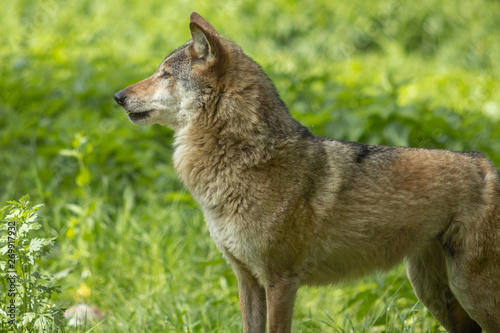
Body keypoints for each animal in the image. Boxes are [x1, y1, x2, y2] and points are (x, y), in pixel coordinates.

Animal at [114, 11, 500, 330]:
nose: (118, 96)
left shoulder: (281, 282)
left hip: (470, 292)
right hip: (432, 292)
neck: (244, 158)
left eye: (164, 75)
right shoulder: (247, 280)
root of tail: (486, 163)